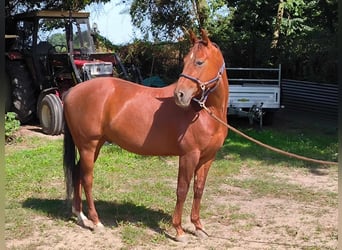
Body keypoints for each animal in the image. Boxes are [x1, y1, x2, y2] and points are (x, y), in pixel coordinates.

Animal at [63, 29, 230, 242]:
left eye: (199, 62)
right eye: (185, 60)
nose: (180, 95)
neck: (205, 111)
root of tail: (71, 91)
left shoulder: (207, 158)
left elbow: (199, 189)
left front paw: (198, 227)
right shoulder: (189, 155)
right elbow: (182, 189)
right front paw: (179, 230)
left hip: (95, 145)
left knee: (76, 173)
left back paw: (81, 216)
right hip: (88, 146)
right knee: (87, 179)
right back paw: (96, 221)